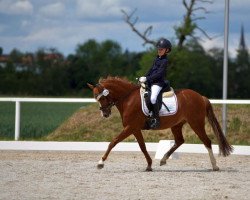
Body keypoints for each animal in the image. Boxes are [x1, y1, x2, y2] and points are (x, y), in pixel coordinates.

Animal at [87, 76, 233, 171]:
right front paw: (149, 165)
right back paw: (163, 160)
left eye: (102, 97)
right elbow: (142, 147)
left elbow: (113, 142)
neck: (128, 98)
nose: (105, 114)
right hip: (177, 124)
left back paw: (215, 166)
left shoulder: (130, 127)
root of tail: (201, 97)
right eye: (96, 98)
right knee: (179, 141)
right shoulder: (135, 128)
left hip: (196, 123)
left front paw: (100, 162)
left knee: (206, 141)